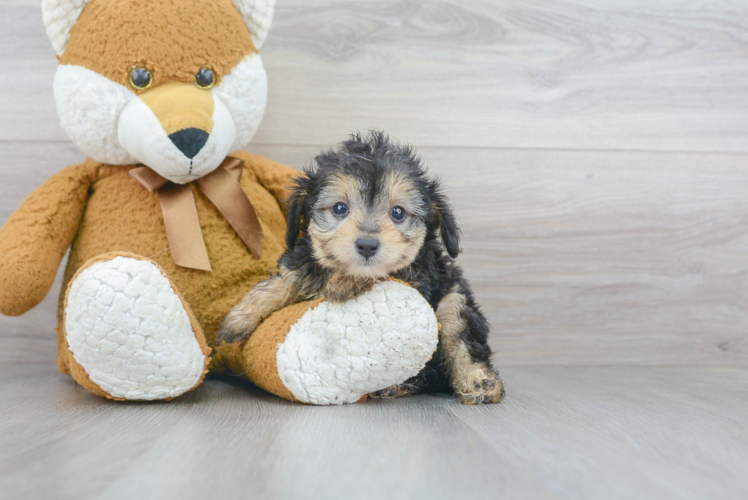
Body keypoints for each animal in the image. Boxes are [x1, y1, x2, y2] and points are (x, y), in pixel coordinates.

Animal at [219, 131, 506, 404]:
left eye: (398, 213)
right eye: (339, 208)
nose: (367, 245)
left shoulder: (419, 277)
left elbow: (377, 274)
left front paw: (345, 282)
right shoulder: (303, 258)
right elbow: (289, 277)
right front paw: (240, 317)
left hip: (453, 300)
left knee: (459, 341)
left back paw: (477, 382)